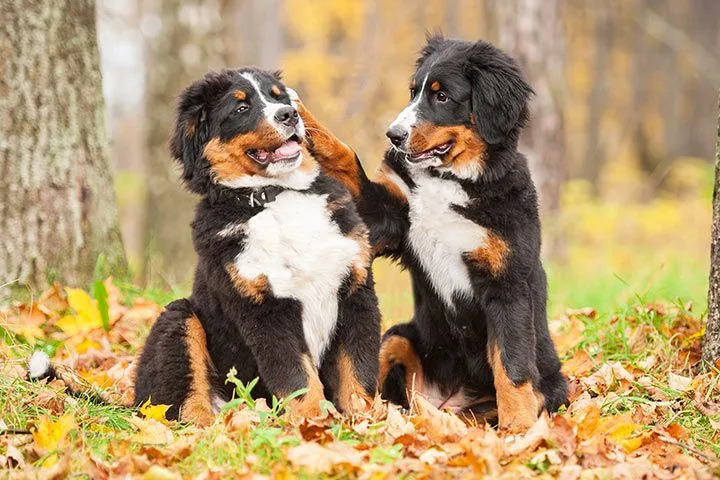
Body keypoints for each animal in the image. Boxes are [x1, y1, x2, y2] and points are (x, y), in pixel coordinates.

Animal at [135, 66, 382, 424]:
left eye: (279, 96)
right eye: (241, 107)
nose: (289, 114)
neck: (278, 195)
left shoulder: (355, 289)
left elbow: (357, 371)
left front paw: (367, 423)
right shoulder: (263, 308)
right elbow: (297, 377)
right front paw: (313, 423)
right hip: (179, 318)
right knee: (183, 406)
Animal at [292, 33, 568, 432]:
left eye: (442, 97)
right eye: (413, 92)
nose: (393, 135)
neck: (451, 180)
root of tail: (446, 402)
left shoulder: (506, 282)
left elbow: (512, 365)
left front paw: (519, 428)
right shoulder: (388, 215)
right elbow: (345, 157)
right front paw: (301, 113)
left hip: (551, 385)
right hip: (398, 337)